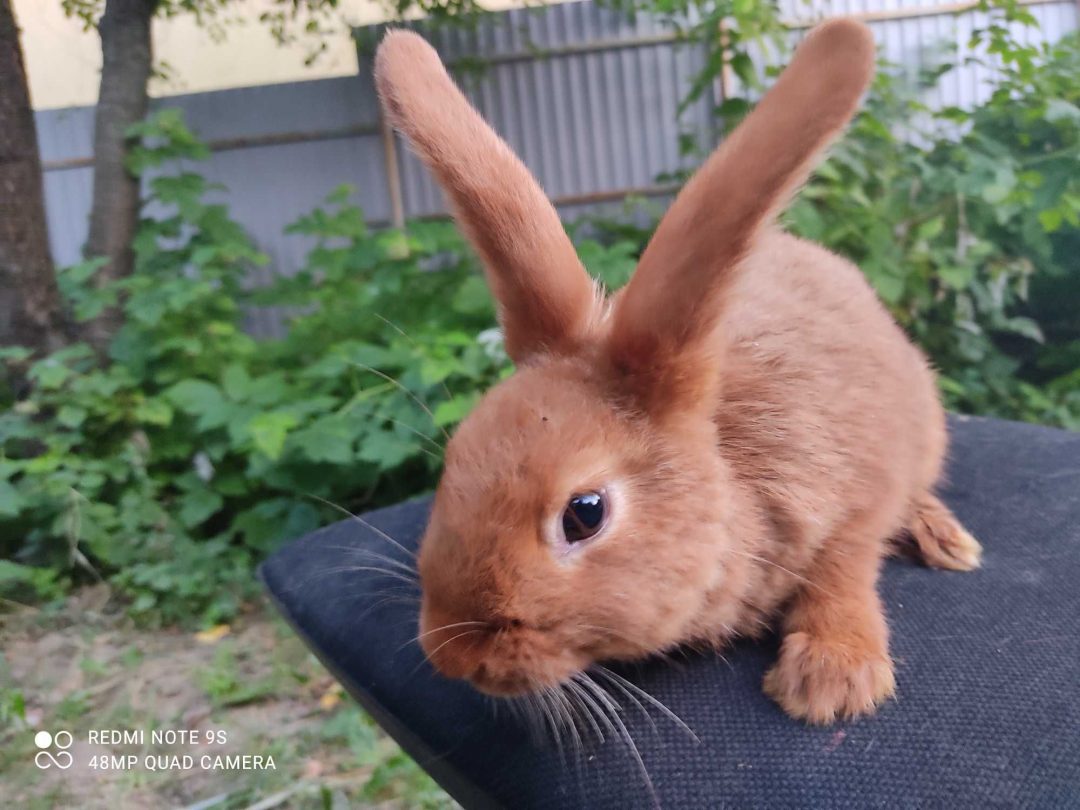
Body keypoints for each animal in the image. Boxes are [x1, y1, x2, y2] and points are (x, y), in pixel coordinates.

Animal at [373, 17, 989, 730]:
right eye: (454, 463)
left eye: (584, 515)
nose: (453, 655)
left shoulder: (864, 491)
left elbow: (845, 566)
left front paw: (830, 681)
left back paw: (945, 539)